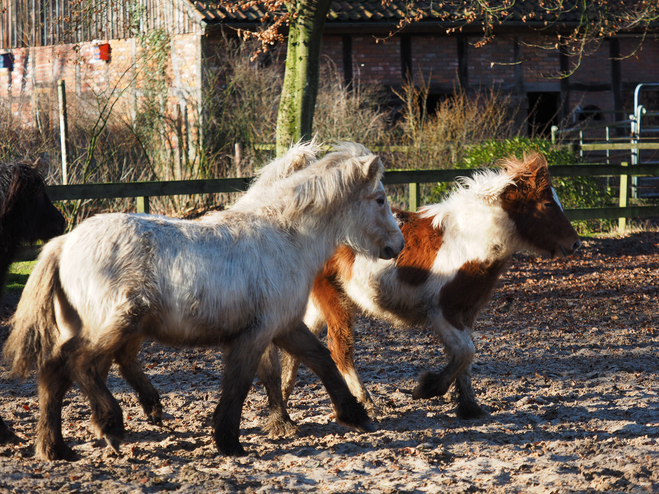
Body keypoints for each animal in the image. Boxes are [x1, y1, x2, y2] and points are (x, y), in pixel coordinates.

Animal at [5, 143, 404, 460]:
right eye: (380, 199)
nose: (397, 246)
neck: (285, 238)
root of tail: (63, 244)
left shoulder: (284, 326)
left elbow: (320, 360)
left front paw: (354, 415)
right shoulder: (255, 334)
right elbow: (239, 385)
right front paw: (229, 442)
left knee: (54, 373)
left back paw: (55, 448)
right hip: (119, 322)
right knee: (80, 364)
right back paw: (110, 426)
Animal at [282, 152, 580, 418]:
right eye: (547, 204)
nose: (575, 243)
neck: (469, 241)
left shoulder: (466, 313)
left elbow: (466, 361)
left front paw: (470, 408)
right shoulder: (442, 312)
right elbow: (465, 353)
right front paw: (427, 388)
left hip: (317, 303)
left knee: (299, 343)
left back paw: (282, 405)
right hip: (334, 299)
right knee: (339, 349)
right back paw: (367, 405)